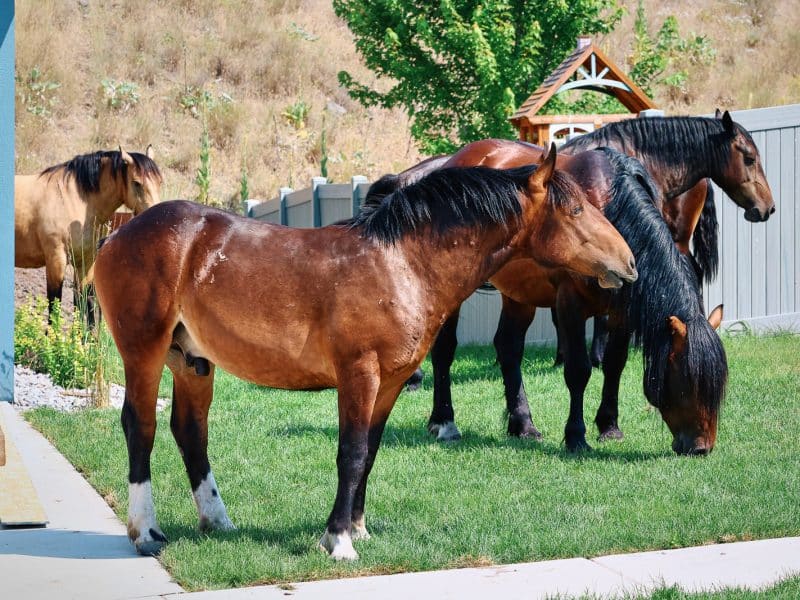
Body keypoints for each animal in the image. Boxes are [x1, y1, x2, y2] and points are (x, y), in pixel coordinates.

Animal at [14, 147, 163, 323]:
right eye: (137, 183)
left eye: (160, 182)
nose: (156, 217)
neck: (72, 198)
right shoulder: (56, 259)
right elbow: (54, 303)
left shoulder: (85, 260)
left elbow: (84, 301)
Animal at [93, 149, 637, 561]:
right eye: (575, 211)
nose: (629, 263)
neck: (400, 263)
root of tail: (119, 233)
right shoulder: (359, 375)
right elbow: (350, 452)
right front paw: (337, 540)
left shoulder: (391, 382)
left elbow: (370, 453)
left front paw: (357, 528)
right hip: (144, 352)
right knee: (140, 426)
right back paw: (146, 532)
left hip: (191, 362)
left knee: (190, 430)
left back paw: (217, 520)